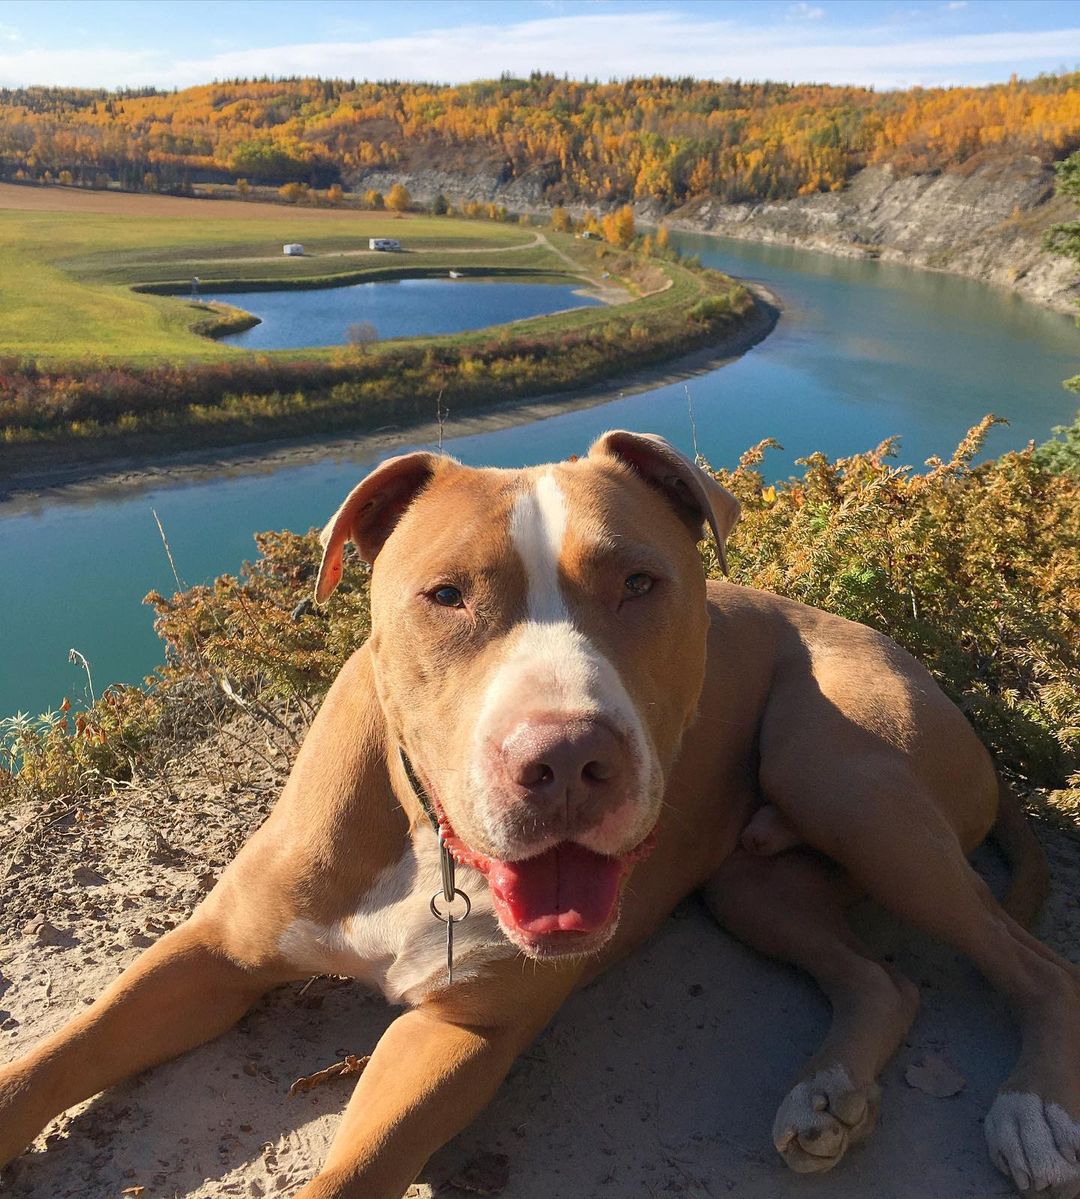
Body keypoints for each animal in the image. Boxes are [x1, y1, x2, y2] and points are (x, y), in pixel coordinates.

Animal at [0, 434, 1074, 1199]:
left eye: (640, 582)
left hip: (846, 778)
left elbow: (356, 1167)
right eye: (444, 594)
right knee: (882, 976)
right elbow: (57, 1052)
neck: (424, 837)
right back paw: (829, 1091)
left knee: (1034, 962)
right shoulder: (213, 953)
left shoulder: (462, 1031)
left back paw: (1032, 1110)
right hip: (755, 883)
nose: (564, 760)